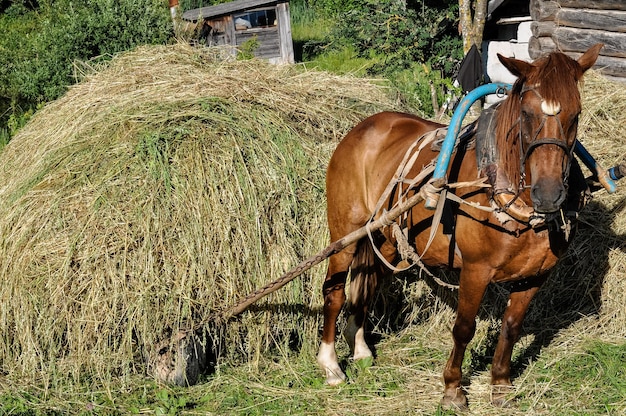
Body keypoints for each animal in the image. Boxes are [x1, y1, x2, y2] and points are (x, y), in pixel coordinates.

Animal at [316, 44, 600, 408]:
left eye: (576, 115)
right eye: (526, 114)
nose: (549, 194)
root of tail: (363, 127)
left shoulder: (535, 276)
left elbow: (511, 326)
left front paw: (501, 384)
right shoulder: (475, 271)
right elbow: (464, 328)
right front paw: (452, 388)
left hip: (390, 239)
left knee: (370, 281)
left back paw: (361, 347)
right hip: (345, 233)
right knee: (335, 292)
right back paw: (330, 365)